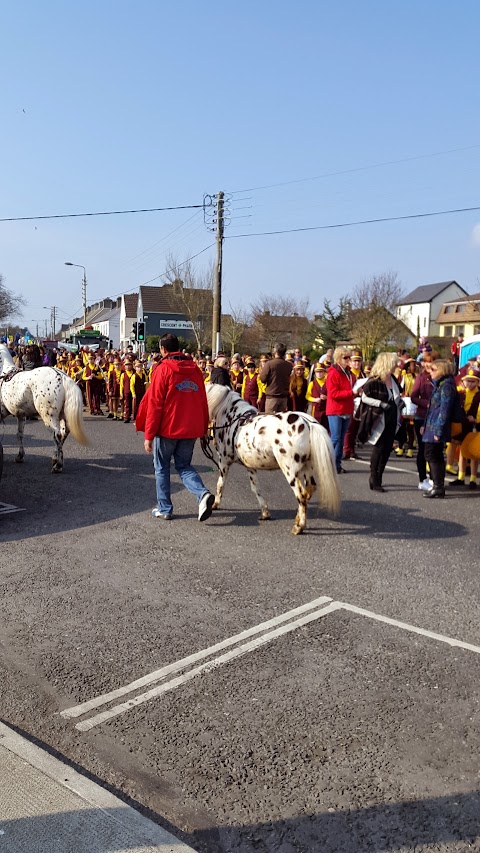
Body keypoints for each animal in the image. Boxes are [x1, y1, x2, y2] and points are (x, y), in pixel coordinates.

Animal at [0, 342, 89, 472]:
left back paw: (58, 465)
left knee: (57, 435)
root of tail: (62, 377)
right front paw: (20, 456)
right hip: (63, 417)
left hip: (49, 416)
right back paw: (56, 458)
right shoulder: (21, 415)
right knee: (63, 434)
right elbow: (19, 434)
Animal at [204, 384, 340, 532]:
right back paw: (298, 518)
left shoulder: (223, 462)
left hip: (290, 471)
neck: (231, 417)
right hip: (306, 467)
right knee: (310, 489)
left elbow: (220, 484)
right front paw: (265, 512)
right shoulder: (250, 466)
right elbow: (255, 488)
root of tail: (309, 424)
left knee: (301, 495)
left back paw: (299, 527)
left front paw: (215, 504)